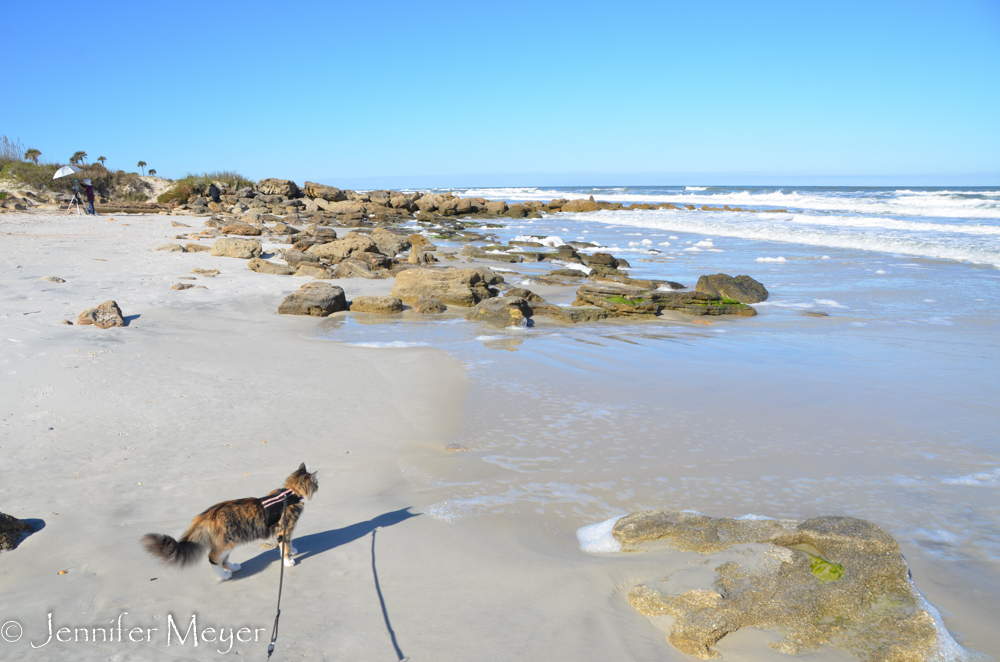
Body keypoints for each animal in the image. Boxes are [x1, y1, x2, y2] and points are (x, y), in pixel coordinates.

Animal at [142, 464, 316, 580]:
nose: (318, 486)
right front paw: (288, 561)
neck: (290, 493)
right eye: (316, 484)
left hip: (229, 541)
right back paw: (224, 575)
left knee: (223, 560)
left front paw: (292, 551)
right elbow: (284, 547)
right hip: (227, 543)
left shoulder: (287, 530)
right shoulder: (284, 529)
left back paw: (233, 568)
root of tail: (207, 514)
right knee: (213, 558)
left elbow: (289, 542)